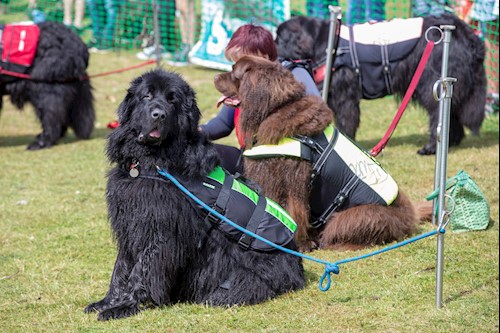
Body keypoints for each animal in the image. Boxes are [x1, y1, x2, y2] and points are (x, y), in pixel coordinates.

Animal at [85, 69, 304, 320]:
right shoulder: (131, 223)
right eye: (147, 96)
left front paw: (126, 306)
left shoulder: (160, 229)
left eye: (172, 100)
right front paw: (107, 301)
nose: (158, 114)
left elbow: (143, 267)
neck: (150, 161)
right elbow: (121, 266)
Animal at [213, 55, 424, 252]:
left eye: (234, 72)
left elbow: (291, 210)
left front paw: (300, 244)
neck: (277, 110)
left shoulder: (289, 179)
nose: (214, 76)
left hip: (356, 216)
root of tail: (409, 217)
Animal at [276, 12, 486, 154]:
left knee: (438, 114)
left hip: (431, 83)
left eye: (278, 39)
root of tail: (469, 36)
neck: (321, 44)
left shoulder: (344, 94)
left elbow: (346, 120)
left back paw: (431, 147)